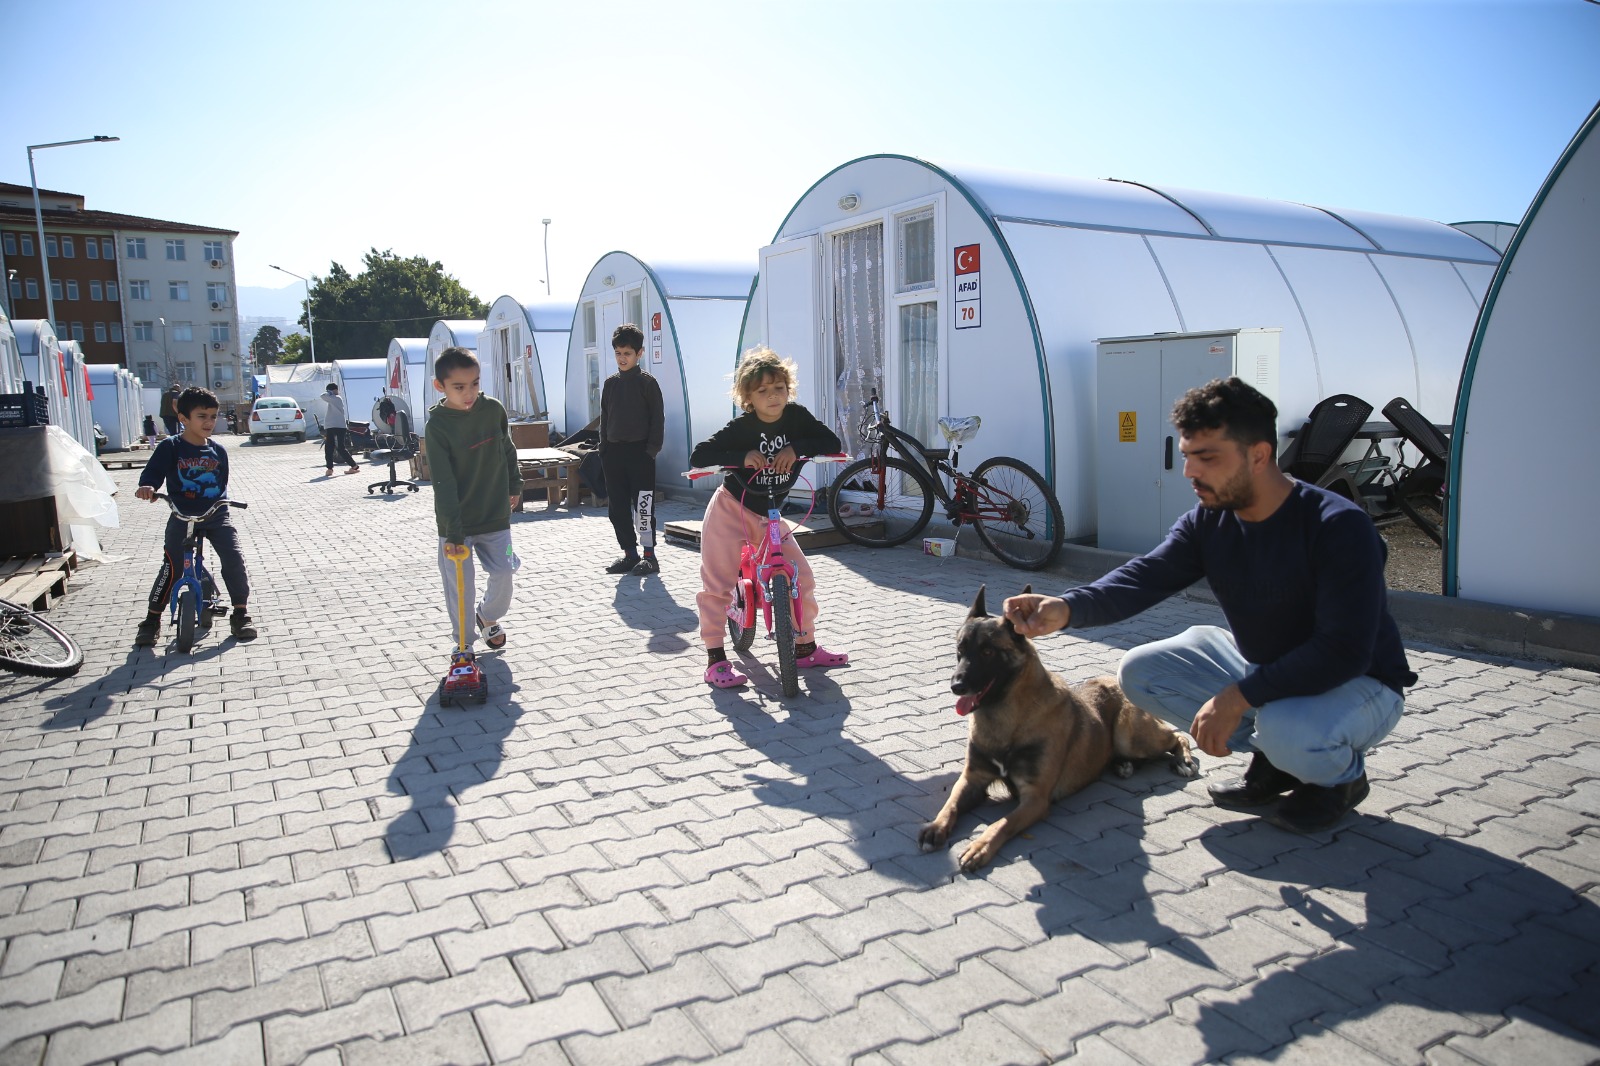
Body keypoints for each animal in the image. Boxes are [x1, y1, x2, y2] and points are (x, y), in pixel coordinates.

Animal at [921, 582, 1196, 870]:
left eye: (987, 652)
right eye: (960, 651)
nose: (956, 686)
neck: (1009, 720)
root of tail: (1115, 682)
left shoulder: (1035, 798)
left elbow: (1002, 824)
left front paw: (979, 846)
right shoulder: (972, 778)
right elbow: (950, 804)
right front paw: (936, 826)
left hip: (1130, 736)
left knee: (1178, 737)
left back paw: (1182, 761)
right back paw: (1123, 764)